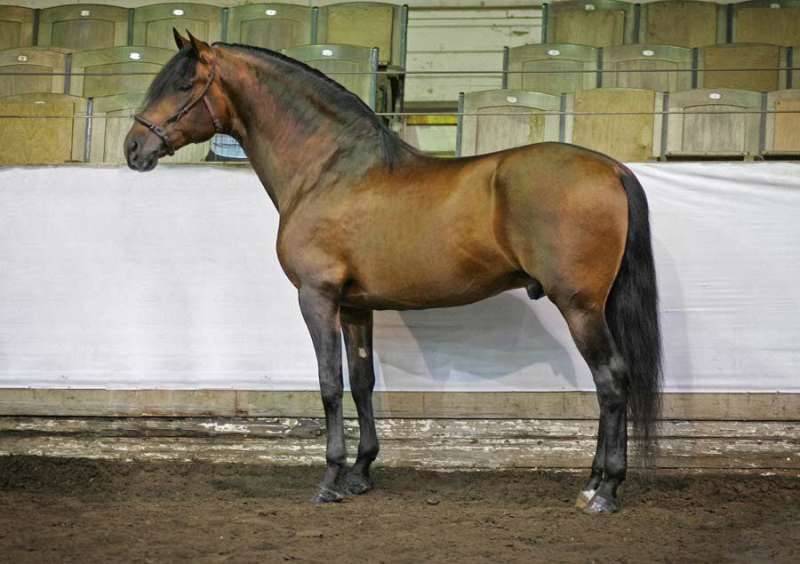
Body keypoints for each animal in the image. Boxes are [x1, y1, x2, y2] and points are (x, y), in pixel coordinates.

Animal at [125, 30, 662, 514]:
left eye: (182, 85)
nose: (133, 148)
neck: (328, 170)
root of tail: (612, 168)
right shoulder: (354, 307)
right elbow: (362, 380)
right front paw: (361, 472)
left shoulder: (317, 297)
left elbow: (328, 381)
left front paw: (330, 480)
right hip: (594, 306)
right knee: (607, 384)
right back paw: (591, 483)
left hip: (579, 307)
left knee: (611, 380)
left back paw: (605, 491)